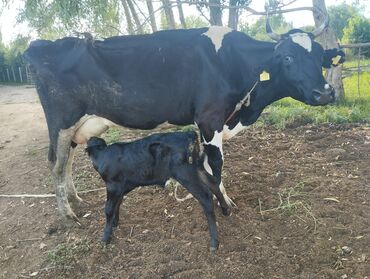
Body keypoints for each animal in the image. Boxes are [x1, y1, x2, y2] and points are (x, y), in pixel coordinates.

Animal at [25, 16, 344, 222]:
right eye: (288, 57)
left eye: (319, 56)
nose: (325, 92)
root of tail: (40, 45)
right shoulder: (209, 119)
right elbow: (216, 165)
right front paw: (224, 204)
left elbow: (205, 165)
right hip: (61, 121)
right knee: (56, 163)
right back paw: (67, 213)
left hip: (76, 126)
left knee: (68, 160)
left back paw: (76, 200)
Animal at [85, 131, 230, 252]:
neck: (103, 154)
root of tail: (187, 133)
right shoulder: (121, 187)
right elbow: (118, 203)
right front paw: (115, 223)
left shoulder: (113, 185)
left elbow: (108, 208)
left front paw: (105, 238)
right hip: (196, 168)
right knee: (213, 183)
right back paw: (226, 209)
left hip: (184, 173)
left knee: (205, 197)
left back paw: (214, 242)